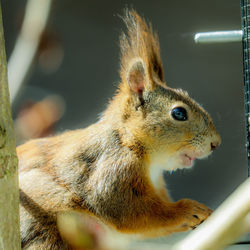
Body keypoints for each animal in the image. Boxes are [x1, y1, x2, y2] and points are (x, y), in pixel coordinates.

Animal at [17, 9, 221, 248]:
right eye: (179, 113)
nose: (215, 143)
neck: (129, 141)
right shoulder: (113, 169)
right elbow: (132, 213)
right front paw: (187, 209)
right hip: (43, 225)